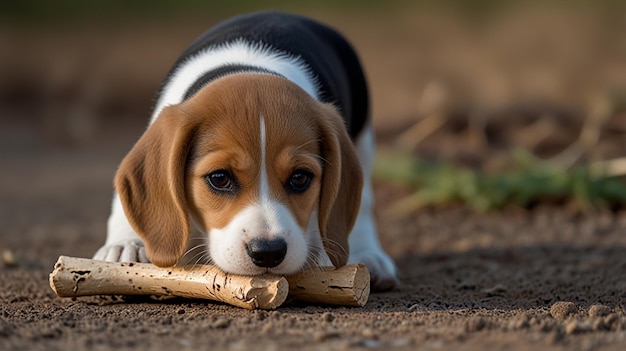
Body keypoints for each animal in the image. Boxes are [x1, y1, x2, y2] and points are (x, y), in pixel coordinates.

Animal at [92, 11, 394, 292]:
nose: (269, 252)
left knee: (364, 205)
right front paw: (125, 245)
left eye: (300, 178)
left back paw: (369, 255)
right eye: (219, 178)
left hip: (363, 139)